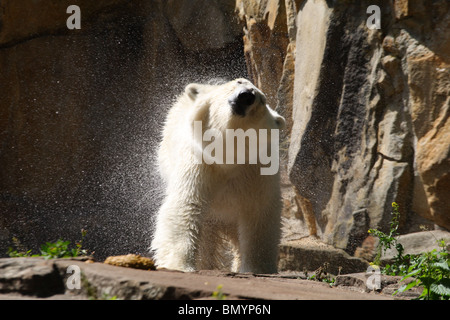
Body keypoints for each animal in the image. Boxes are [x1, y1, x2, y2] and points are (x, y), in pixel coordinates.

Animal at [151, 79, 284, 274]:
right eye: (239, 81)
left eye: (261, 99)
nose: (246, 95)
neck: (228, 154)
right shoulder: (200, 164)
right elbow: (187, 204)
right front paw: (180, 265)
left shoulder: (256, 172)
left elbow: (258, 213)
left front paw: (257, 267)